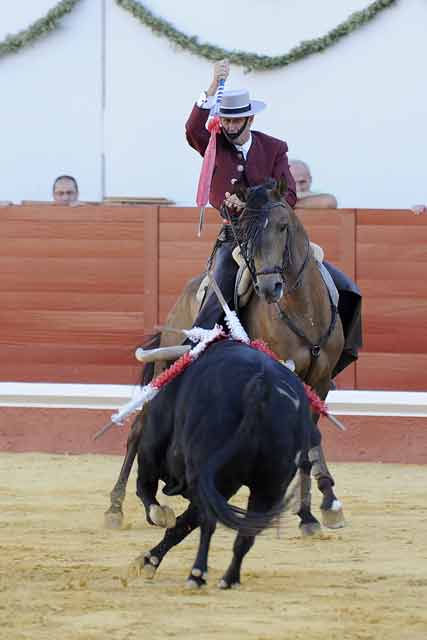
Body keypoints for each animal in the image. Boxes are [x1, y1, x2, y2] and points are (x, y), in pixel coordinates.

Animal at [105, 179, 346, 536]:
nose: (270, 287)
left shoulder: (321, 380)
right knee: (139, 427)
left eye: (283, 226)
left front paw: (317, 510)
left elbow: (310, 443)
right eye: (247, 235)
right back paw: (128, 506)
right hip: (169, 364)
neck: (304, 312)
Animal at [134, 340, 320, 592]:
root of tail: (262, 386)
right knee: (246, 532)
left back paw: (197, 574)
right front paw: (150, 560)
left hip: (205, 471)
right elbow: (184, 523)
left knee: (208, 522)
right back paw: (229, 578)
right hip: (270, 486)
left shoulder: (153, 450)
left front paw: (154, 538)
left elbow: (146, 491)